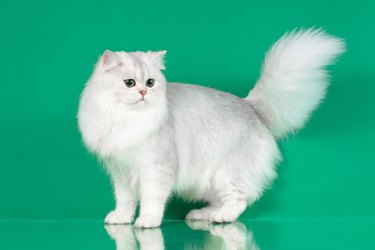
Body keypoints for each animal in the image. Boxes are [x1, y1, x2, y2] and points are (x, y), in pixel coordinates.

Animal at [78, 28, 346, 228]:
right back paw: (201, 215)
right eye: (130, 83)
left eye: (151, 82)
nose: (143, 92)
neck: (127, 119)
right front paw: (121, 218)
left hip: (227, 174)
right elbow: (125, 201)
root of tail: (249, 105)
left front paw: (147, 221)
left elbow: (151, 199)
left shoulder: (156, 168)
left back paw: (222, 217)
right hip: (209, 182)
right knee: (224, 201)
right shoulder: (120, 171)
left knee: (240, 200)